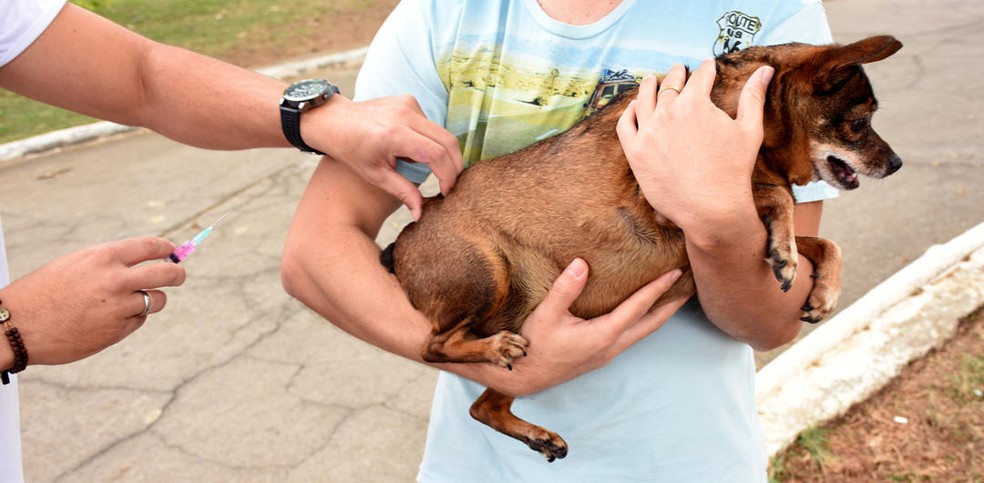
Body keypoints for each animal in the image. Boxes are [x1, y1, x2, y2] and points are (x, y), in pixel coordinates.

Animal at [380, 35, 904, 462]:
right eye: (860, 123)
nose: (897, 163)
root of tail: (401, 240)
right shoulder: (668, 202)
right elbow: (777, 197)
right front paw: (788, 251)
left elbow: (823, 241)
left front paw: (821, 287)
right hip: (488, 275)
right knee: (435, 347)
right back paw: (491, 349)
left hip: (521, 327)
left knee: (482, 405)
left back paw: (535, 434)